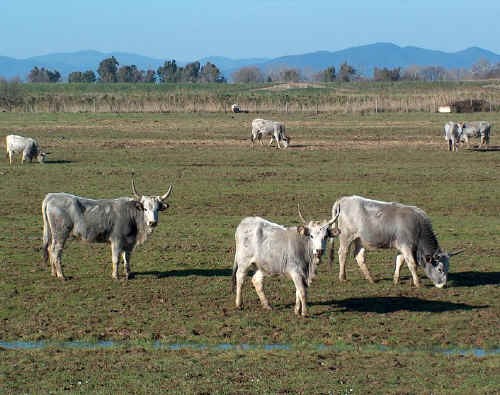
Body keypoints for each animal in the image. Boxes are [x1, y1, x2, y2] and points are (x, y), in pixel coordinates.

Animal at [41, 179, 174, 282]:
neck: (130, 214)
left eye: (157, 209)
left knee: (50, 249)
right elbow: (116, 259)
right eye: (145, 209)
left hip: (54, 234)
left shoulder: (129, 242)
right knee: (56, 251)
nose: (152, 222)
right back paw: (61, 275)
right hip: (60, 234)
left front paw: (128, 274)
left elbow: (127, 258)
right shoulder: (117, 241)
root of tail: (51, 196)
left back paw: (54, 273)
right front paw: (115, 276)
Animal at [328, 197, 460, 288]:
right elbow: (412, 264)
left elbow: (399, 262)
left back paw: (370, 279)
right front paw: (418, 283)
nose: (443, 285)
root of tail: (343, 200)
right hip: (346, 237)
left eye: (448, 268)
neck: (417, 226)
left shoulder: (401, 248)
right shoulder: (406, 246)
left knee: (359, 256)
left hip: (359, 240)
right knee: (343, 254)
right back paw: (343, 277)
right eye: (440, 269)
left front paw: (396, 280)